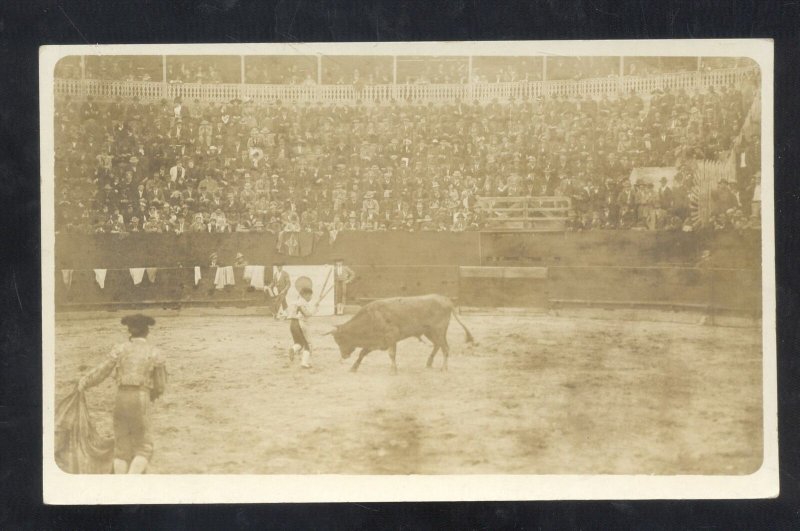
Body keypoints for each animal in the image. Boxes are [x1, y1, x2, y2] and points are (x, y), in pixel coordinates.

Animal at [324, 296, 476, 374]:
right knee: (438, 345)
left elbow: (391, 354)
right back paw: (429, 364)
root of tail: (446, 300)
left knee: (445, 348)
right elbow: (362, 353)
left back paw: (443, 368)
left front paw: (393, 370)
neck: (371, 317)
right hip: (430, 332)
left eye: (340, 340)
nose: (344, 356)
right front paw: (353, 368)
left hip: (438, 330)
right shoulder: (376, 341)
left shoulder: (391, 337)